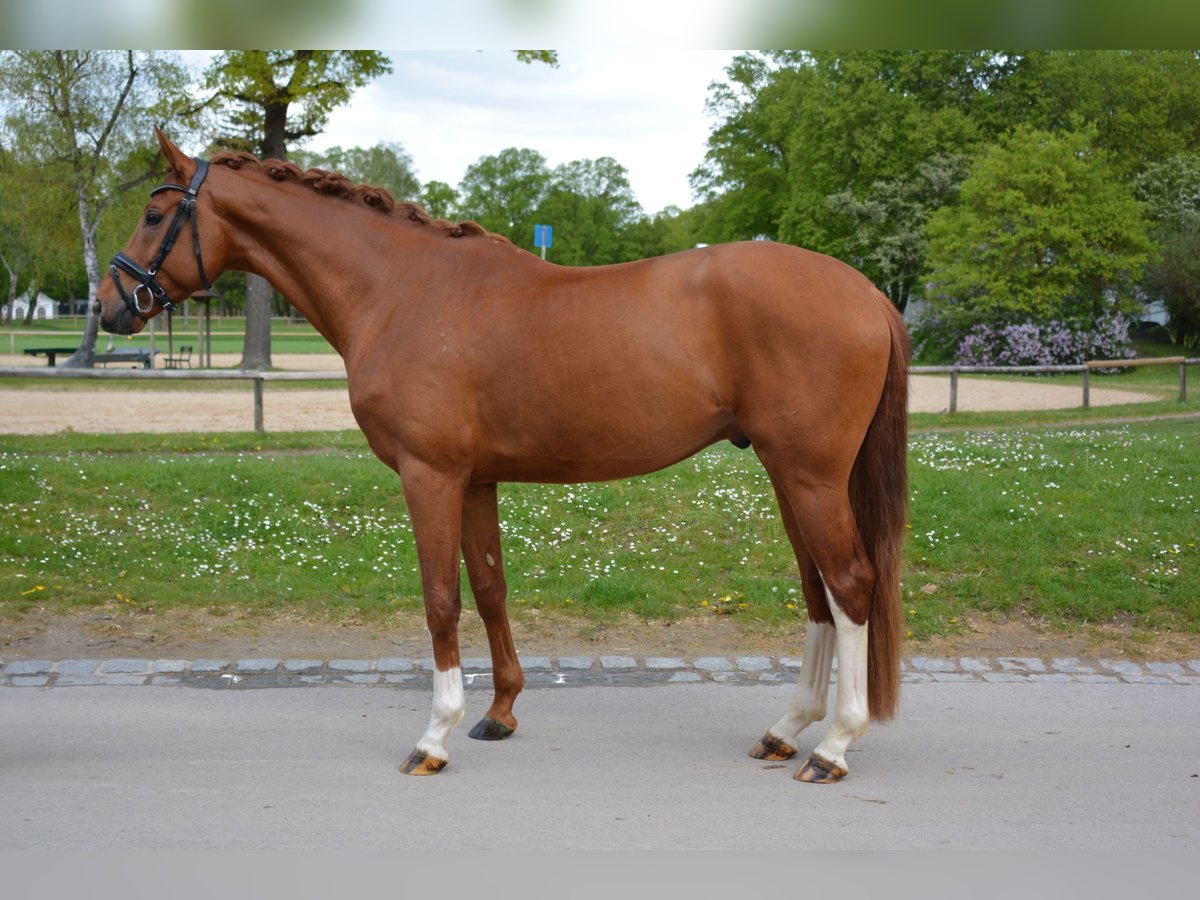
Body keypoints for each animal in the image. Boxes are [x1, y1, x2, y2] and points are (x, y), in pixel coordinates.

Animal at [96, 130, 907, 787]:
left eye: (156, 215)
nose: (109, 304)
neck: (401, 292)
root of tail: (867, 292)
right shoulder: (476, 480)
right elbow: (489, 588)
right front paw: (500, 711)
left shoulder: (429, 476)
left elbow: (440, 599)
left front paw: (434, 737)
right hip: (789, 475)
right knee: (818, 592)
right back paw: (787, 729)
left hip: (808, 475)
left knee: (849, 583)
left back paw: (833, 747)